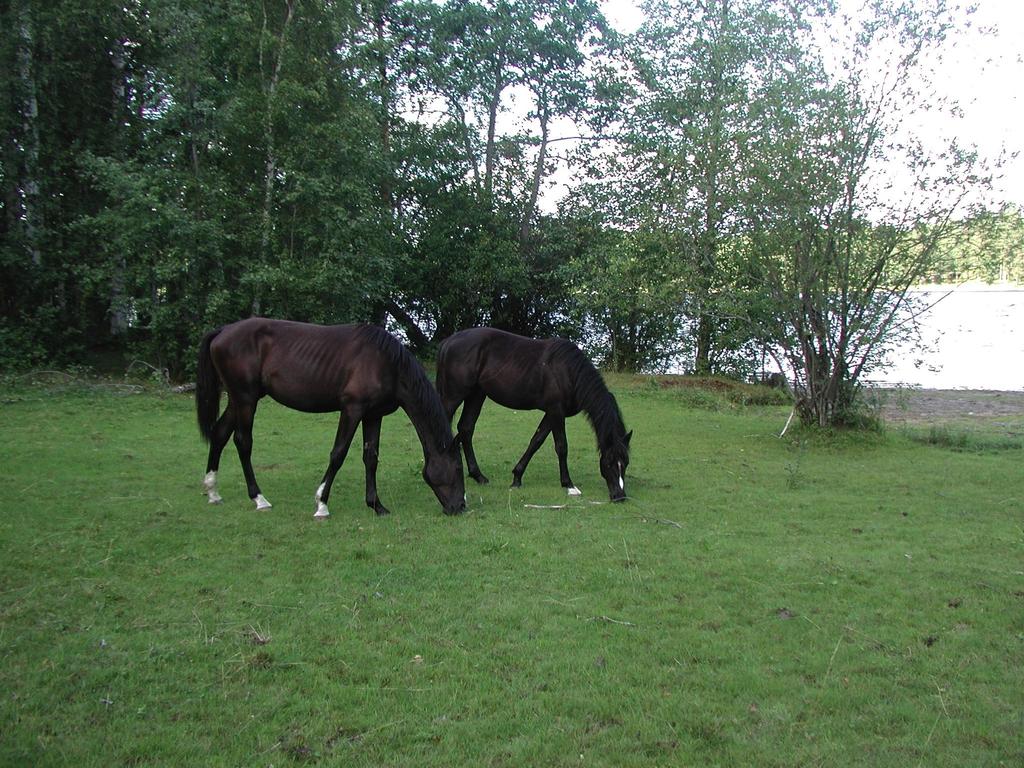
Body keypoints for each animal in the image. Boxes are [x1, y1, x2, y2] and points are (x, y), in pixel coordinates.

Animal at [196, 315, 468, 520]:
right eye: (457, 467)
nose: (460, 507)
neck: (385, 363)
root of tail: (223, 331)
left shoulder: (373, 415)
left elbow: (371, 458)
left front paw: (376, 505)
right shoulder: (352, 410)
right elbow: (338, 454)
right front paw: (322, 504)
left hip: (238, 400)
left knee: (220, 434)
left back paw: (213, 492)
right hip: (246, 399)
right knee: (243, 442)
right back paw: (259, 498)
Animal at [434, 327, 626, 501]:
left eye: (625, 462)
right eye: (609, 461)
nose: (620, 496)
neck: (568, 371)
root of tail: (448, 342)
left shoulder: (551, 413)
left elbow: (536, 441)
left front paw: (517, 478)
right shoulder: (556, 411)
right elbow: (561, 446)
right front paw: (569, 485)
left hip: (476, 395)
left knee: (466, 428)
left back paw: (479, 476)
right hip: (454, 396)